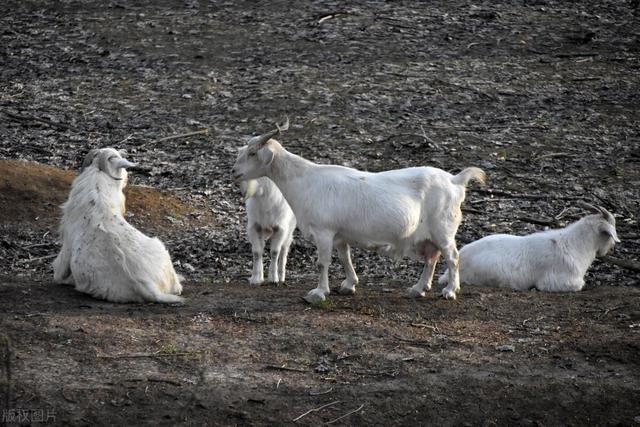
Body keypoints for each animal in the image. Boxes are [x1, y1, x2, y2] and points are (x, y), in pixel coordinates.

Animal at [231, 118, 484, 302]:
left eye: (252, 153)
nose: (234, 171)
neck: (305, 179)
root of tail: (455, 180)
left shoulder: (323, 231)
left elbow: (323, 262)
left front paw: (318, 293)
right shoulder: (340, 235)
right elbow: (345, 257)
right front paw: (349, 285)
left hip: (443, 229)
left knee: (452, 257)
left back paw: (450, 291)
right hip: (429, 235)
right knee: (431, 258)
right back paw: (417, 288)